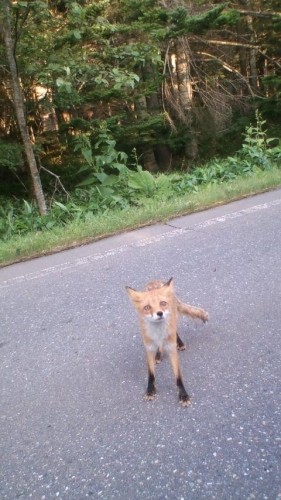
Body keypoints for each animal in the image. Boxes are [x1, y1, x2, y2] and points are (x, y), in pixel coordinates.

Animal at [124, 278, 208, 406]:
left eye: (162, 303)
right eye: (147, 307)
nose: (160, 313)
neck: (158, 333)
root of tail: (155, 281)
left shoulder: (171, 349)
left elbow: (178, 376)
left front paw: (183, 395)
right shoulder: (149, 348)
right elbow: (151, 374)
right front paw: (150, 390)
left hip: (174, 320)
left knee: (175, 332)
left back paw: (180, 343)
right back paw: (159, 355)